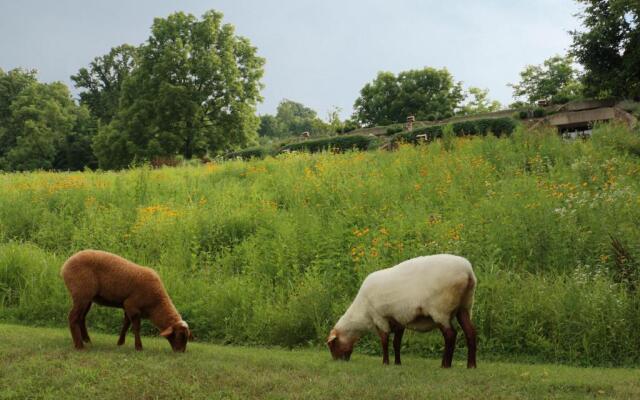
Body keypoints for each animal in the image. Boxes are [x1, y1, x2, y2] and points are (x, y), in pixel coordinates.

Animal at [62, 252, 192, 352]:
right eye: (180, 335)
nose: (181, 352)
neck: (156, 304)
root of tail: (65, 266)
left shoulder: (127, 306)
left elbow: (125, 325)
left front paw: (120, 343)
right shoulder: (132, 306)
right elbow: (136, 328)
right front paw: (139, 347)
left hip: (87, 297)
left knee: (81, 318)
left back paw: (87, 340)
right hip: (81, 293)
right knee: (73, 317)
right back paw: (79, 345)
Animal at [328, 255, 478, 368]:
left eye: (332, 345)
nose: (337, 361)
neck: (362, 314)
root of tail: (468, 273)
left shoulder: (380, 318)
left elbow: (384, 341)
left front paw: (385, 363)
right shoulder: (398, 320)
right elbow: (396, 343)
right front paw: (397, 363)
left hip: (441, 310)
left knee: (450, 335)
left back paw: (445, 365)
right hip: (464, 306)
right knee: (470, 332)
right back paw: (471, 365)